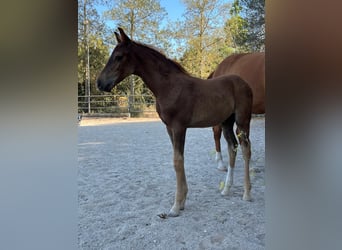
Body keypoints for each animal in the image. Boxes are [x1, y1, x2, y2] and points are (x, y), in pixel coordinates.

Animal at [97, 28, 252, 217]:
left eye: (118, 56)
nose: (100, 83)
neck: (168, 86)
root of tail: (244, 83)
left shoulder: (179, 127)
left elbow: (177, 161)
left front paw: (176, 206)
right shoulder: (169, 128)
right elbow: (179, 160)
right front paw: (182, 201)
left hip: (242, 121)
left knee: (246, 149)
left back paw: (247, 193)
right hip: (226, 123)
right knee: (232, 148)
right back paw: (226, 189)